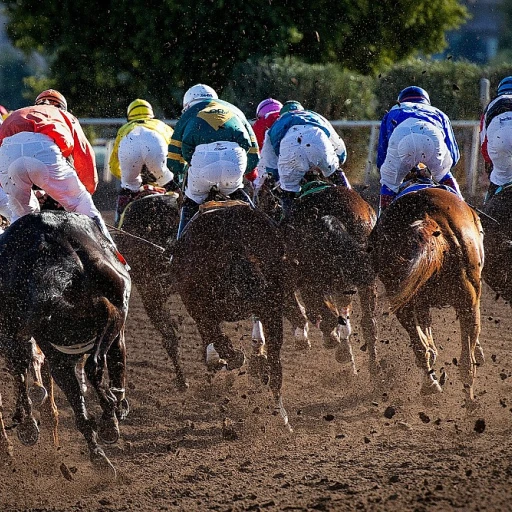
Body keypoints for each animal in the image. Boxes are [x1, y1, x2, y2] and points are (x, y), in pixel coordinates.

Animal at [0, 210, 131, 474]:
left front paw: (99, 453)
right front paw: (111, 420)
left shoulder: (58, 355)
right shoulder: (112, 324)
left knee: (22, 367)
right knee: (93, 365)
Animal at [171, 200, 290, 428]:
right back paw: (281, 416)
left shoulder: (200, 312)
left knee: (222, 342)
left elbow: (216, 343)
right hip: (271, 306)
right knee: (275, 360)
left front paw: (220, 361)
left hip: (202, 307)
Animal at [258, 180, 378, 376]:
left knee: (327, 316)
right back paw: (376, 372)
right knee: (369, 323)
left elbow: (317, 314)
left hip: (313, 280)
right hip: (365, 280)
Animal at [368, 188, 484, 400]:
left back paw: (431, 385)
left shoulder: (419, 301)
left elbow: (426, 339)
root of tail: (427, 216)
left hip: (402, 298)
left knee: (421, 347)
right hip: (468, 299)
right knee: (466, 361)